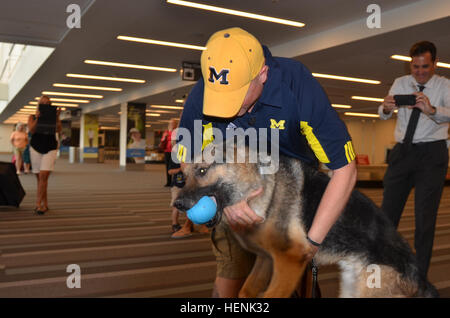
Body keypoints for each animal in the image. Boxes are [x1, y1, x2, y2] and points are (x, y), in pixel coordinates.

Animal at [174, 144, 438, 298]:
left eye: (202, 171)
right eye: (182, 177)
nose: (177, 204)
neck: (261, 188)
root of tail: (420, 277)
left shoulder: (290, 261)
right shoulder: (266, 260)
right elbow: (246, 291)